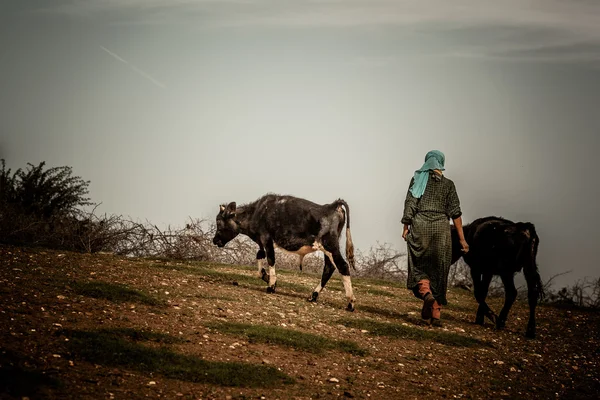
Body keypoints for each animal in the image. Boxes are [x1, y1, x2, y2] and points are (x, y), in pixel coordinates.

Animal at [211, 195, 356, 312]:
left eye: (219, 222)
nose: (214, 240)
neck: (257, 213)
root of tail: (333, 205)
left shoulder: (267, 239)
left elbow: (271, 259)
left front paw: (271, 286)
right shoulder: (261, 242)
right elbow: (259, 257)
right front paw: (266, 277)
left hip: (329, 245)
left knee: (343, 266)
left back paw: (350, 303)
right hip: (329, 248)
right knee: (329, 268)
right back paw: (313, 296)